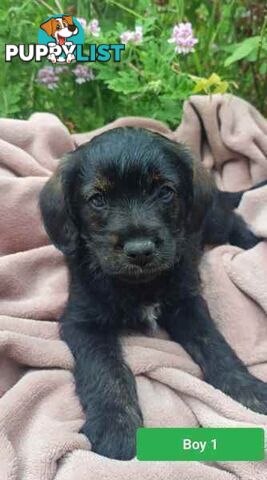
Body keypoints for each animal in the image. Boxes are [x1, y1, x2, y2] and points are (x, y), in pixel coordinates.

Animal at [39, 127, 267, 462]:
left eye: (165, 191)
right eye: (97, 200)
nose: (140, 250)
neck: (139, 284)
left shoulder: (187, 302)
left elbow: (214, 344)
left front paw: (246, 388)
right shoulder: (82, 321)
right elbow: (104, 368)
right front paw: (115, 424)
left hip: (211, 221)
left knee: (233, 221)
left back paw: (250, 245)